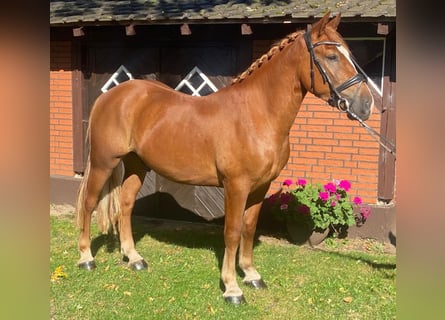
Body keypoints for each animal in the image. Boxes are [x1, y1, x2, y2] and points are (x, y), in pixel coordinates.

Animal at [75, 11, 372, 304]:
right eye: (331, 56)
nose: (365, 104)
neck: (257, 115)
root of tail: (109, 96)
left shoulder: (260, 187)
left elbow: (249, 228)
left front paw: (251, 275)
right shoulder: (236, 186)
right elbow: (232, 232)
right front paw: (232, 288)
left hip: (138, 164)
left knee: (125, 204)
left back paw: (134, 258)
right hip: (103, 163)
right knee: (88, 204)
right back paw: (86, 258)